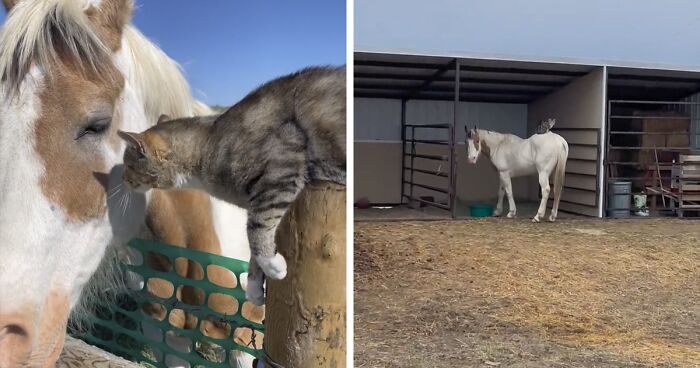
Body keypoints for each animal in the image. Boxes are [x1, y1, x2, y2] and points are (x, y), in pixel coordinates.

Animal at [118, 67, 348, 304]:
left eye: (128, 164)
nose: (122, 178)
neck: (208, 143)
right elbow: (254, 233)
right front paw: (254, 287)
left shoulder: (284, 161)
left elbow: (256, 227)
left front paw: (271, 264)